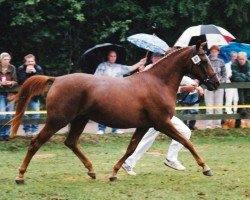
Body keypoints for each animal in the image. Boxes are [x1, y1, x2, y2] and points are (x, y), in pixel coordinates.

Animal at [11, 41, 219, 183]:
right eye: (203, 59)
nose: (215, 83)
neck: (158, 83)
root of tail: (57, 80)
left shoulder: (144, 126)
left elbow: (132, 148)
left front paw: (114, 173)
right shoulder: (162, 123)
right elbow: (186, 142)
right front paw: (206, 168)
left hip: (79, 120)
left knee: (70, 142)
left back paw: (91, 171)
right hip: (57, 120)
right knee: (36, 142)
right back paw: (20, 176)